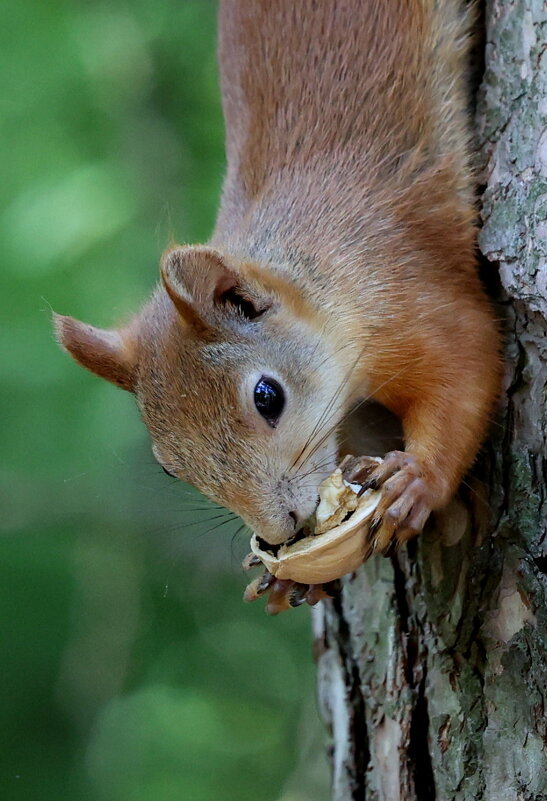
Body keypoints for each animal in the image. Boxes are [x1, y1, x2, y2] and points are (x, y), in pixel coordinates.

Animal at [54, 0, 500, 560]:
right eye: (168, 466)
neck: (325, 286)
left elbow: (466, 372)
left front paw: (417, 480)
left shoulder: (412, 292)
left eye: (268, 397)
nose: (279, 534)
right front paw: (280, 575)